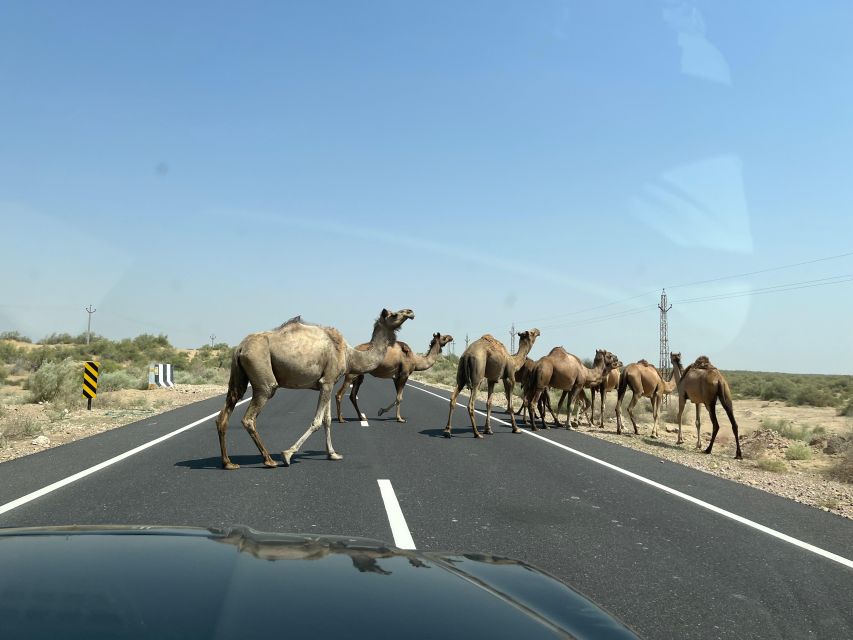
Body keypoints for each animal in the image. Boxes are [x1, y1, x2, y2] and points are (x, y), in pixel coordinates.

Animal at [216, 308, 416, 468]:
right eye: (394, 314)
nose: (410, 312)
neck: (349, 354)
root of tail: (240, 348)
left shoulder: (327, 383)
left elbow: (327, 420)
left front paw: (333, 454)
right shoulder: (327, 381)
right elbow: (317, 421)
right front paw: (287, 454)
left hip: (239, 379)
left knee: (224, 414)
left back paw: (228, 463)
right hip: (264, 378)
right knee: (249, 418)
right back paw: (269, 460)